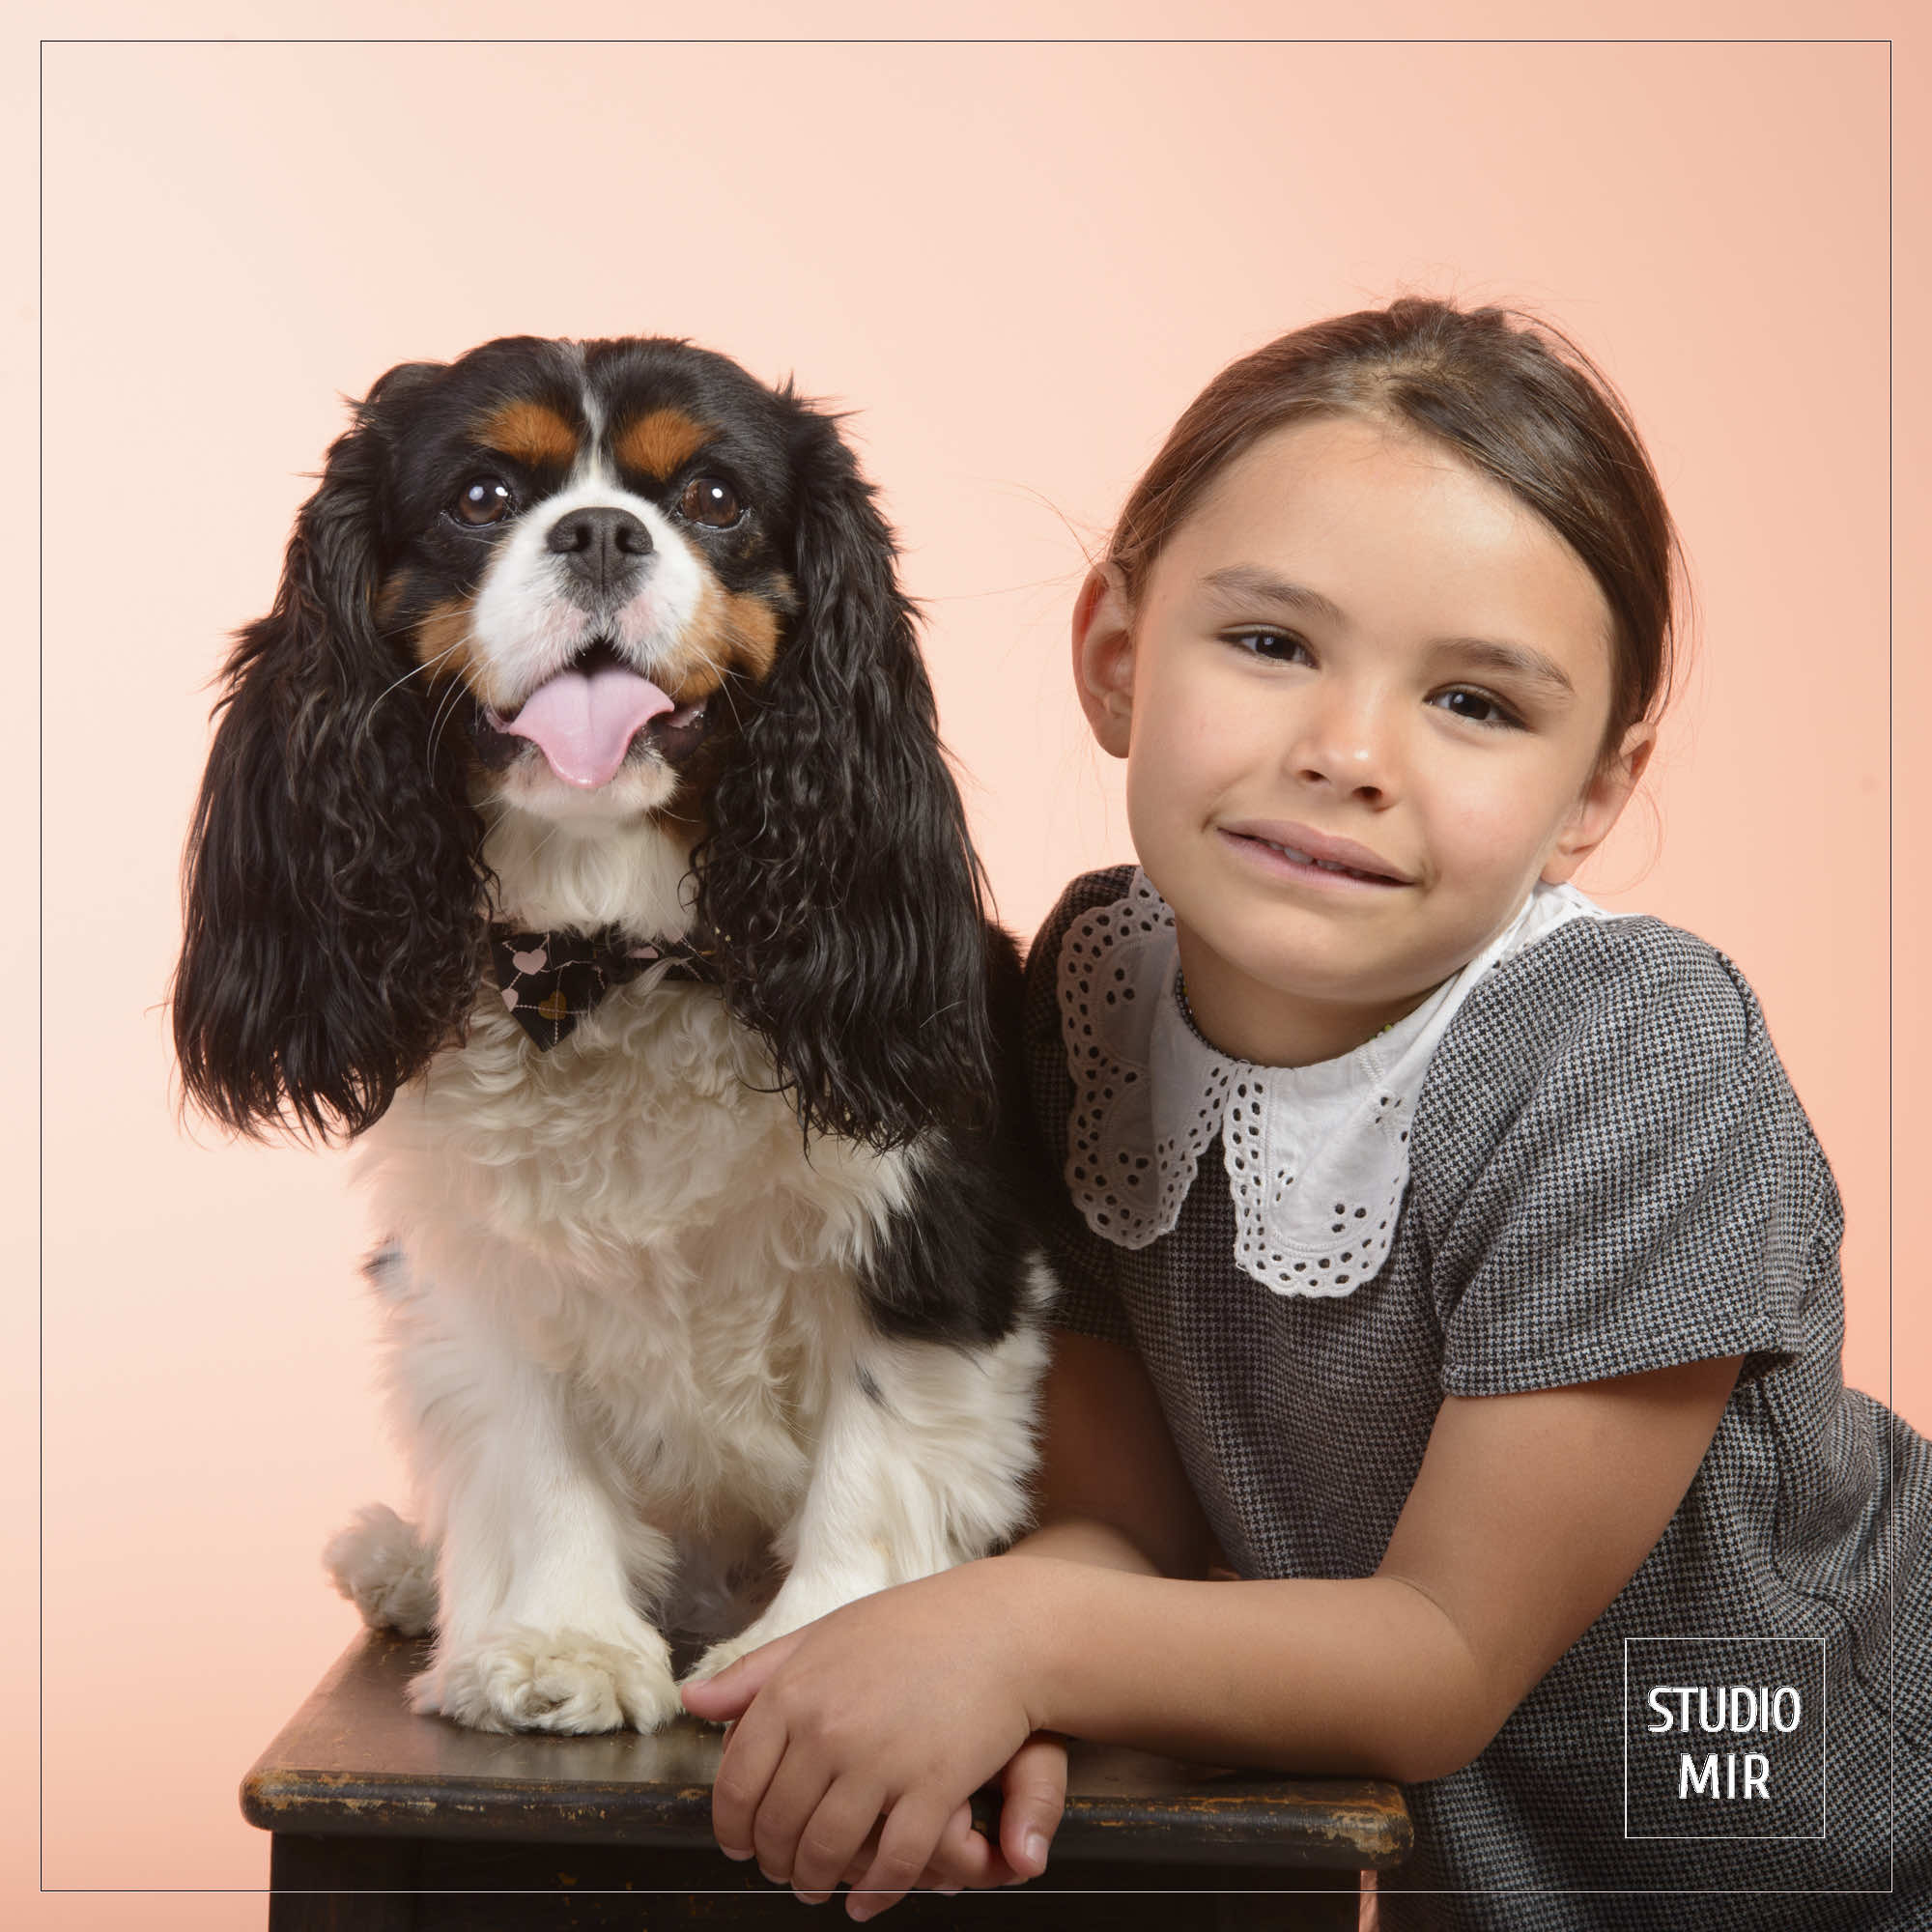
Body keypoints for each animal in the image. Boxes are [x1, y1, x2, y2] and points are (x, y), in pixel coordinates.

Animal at [178, 332, 1059, 1739]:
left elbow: (877, 1445)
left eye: (713, 498)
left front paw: (827, 1645)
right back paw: (403, 1565)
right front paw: (559, 1641)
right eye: (481, 496)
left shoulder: (924, 1217)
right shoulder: (474, 1254)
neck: (614, 955)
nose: (599, 531)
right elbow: (529, 1446)